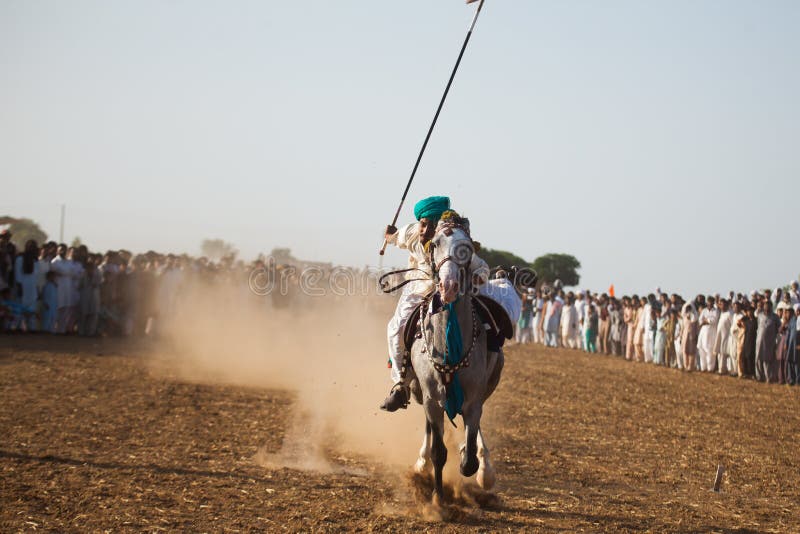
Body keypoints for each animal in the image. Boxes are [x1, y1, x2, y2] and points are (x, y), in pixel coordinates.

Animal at [406, 218, 506, 506]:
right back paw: (422, 463)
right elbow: (439, 451)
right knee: (431, 429)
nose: (448, 286)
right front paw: (438, 498)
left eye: (467, 247)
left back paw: (485, 469)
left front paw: (473, 462)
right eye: (436, 243)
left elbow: (469, 458)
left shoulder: (473, 399)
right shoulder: (430, 397)